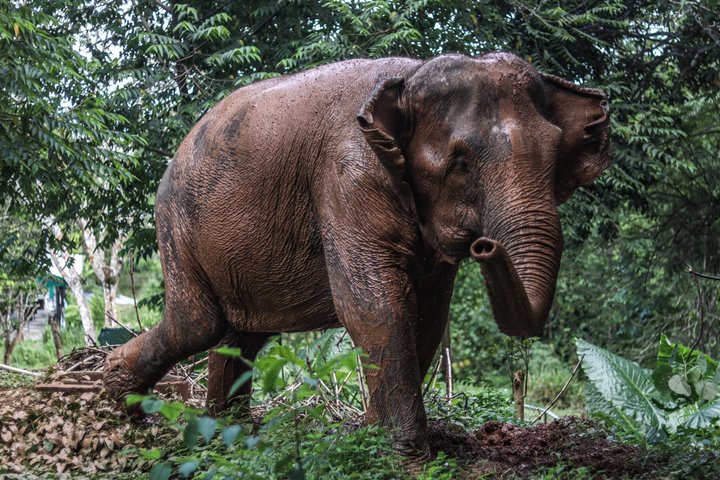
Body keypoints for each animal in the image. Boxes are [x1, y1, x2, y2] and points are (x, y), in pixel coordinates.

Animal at [103, 52, 610, 457]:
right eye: (461, 162)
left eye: (553, 156)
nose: (485, 245)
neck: (410, 78)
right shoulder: (347, 178)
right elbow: (377, 307)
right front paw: (407, 455)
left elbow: (428, 313)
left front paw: (374, 436)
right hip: (176, 222)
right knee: (200, 323)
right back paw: (113, 394)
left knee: (240, 333)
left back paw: (227, 433)